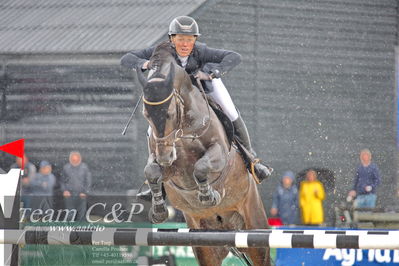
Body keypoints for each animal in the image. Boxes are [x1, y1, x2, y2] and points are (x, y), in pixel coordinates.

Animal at [136, 42, 270, 266]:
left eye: (169, 114)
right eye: (146, 115)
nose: (165, 157)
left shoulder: (219, 154)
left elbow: (201, 167)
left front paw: (208, 196)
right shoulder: (167, 165)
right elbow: (152, 172)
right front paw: (159, 211)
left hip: (256, 232)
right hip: (204, 245)